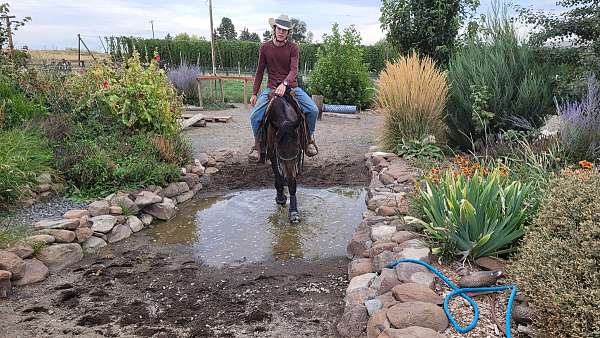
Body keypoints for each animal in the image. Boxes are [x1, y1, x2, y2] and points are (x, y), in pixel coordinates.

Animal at [258, 91, 308, 223]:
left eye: (297, 146)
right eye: (279, 149)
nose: (288, 177)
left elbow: (292, 184)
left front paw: (294, 212)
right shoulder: (273, 154)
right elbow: (279, 178)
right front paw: (280, 198)